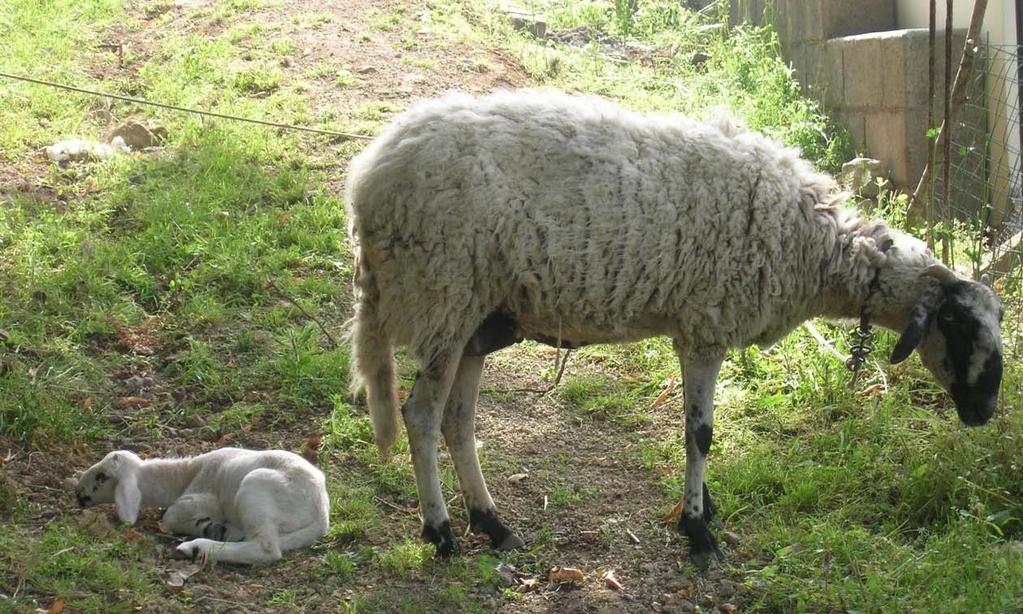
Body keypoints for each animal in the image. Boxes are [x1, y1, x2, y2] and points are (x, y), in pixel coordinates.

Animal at [76, 446, 331, 564]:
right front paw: (217, 527)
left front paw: (207, 526)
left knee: (266, 548)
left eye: (101, 477)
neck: (184, 475)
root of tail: (321, 515)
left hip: (255, 489)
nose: (79, 494)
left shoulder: (203, 495)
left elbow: (170, 516)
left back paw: (197, 547)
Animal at [347, 88, 1002, 568]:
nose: (985, 412)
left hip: (478, 316)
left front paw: (703, 512)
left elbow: (702, 433)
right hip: (442, 294)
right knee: (422, 415)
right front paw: (696, 530)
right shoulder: (704, 328)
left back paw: (492, 523)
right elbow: (701, 435)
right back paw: (441, 532)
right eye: (952, 322)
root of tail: (367, 178)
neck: (816, 248)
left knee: (457, 421)